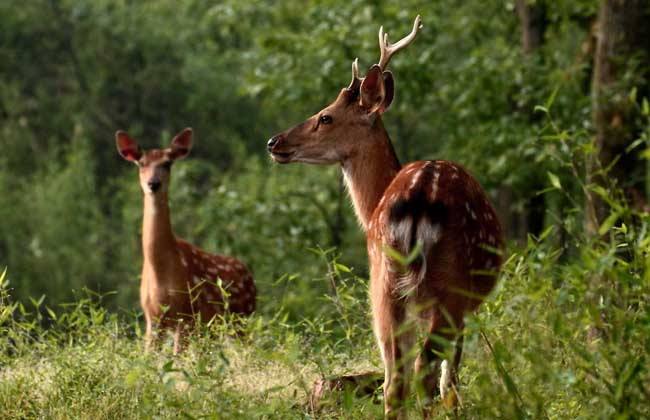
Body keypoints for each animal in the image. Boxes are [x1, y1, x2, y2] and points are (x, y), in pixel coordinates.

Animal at [117, 128, 254, 354]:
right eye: (141, 163)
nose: (153, 184)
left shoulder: (187, 315)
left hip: (241, 318)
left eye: (167, 163)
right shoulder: (152, 320)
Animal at [266, 14, 504, 418]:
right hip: (443, 288)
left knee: (396, 380)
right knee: (424, 373)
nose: (274, 142)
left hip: (384, 282)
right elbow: (452, 380)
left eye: (325, 117)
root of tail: (418, 200)